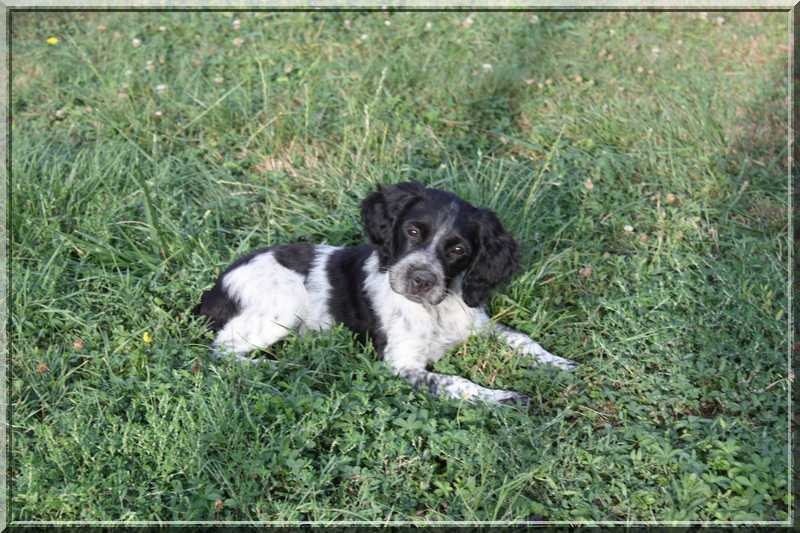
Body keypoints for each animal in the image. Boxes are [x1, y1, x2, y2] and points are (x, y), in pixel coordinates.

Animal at [195, 181, 576, 405]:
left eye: (458, 250)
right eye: (412, 231)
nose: (421, 280)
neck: (436, 308)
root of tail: (217, 285)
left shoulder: (479, 323)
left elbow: (522, 339)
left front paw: (558, 363)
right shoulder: (401, 364)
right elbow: (455, 382)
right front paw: (501, 397)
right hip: (282, 306)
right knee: (222, 351)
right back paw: (274, 366)